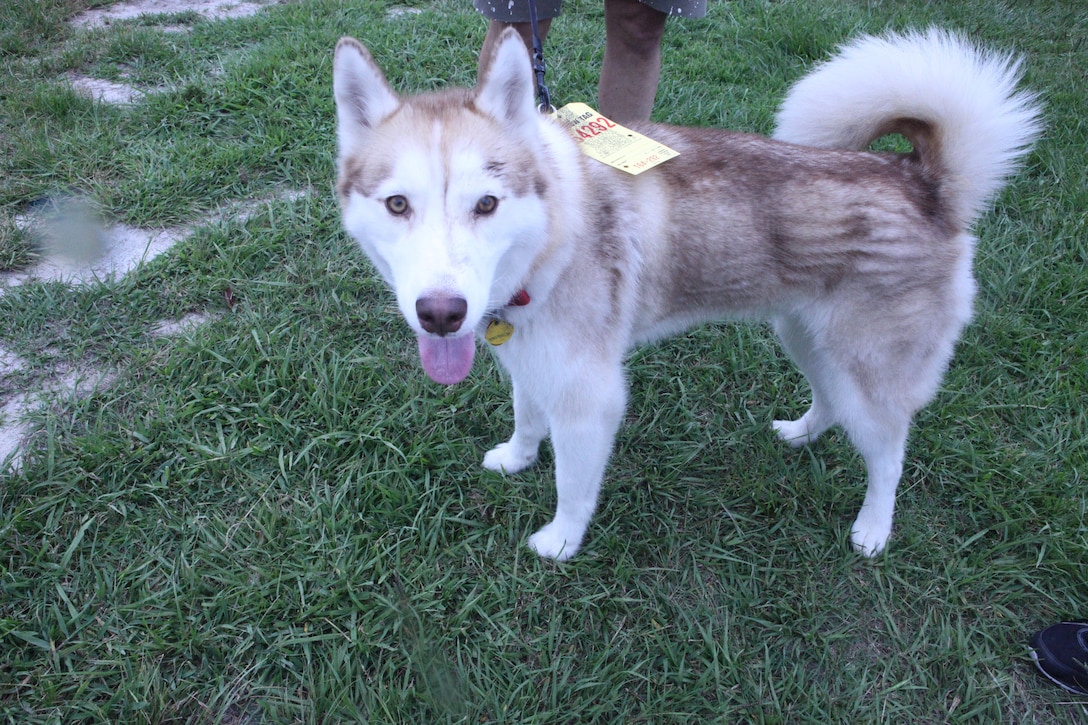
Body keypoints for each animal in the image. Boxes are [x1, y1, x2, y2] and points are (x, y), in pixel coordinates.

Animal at [328, 28, 1035, 557]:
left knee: (889, 454)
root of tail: (924, 182)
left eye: (486, 204)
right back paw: (801, 433)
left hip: (870, 369)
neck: (554, 234)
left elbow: (572, 484)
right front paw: (517, 457)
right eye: (398, 204)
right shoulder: (529, 357)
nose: (441, 314)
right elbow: (528, 419)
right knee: (830, 400)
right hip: (803, 334)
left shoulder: (590, 395)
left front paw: (560, 542)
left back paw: (873, 529)